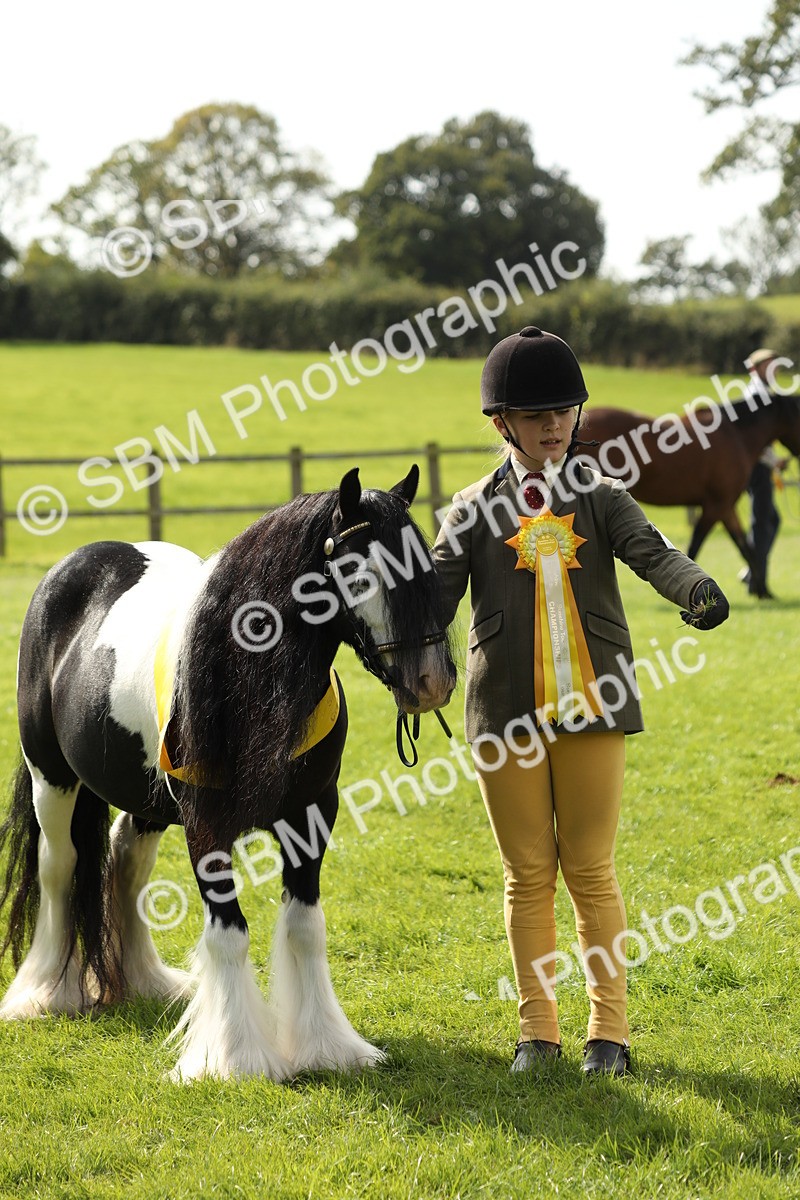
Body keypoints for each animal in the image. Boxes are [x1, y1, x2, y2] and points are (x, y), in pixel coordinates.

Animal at [0, 465, 456, 1081]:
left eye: (426, 562)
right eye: (359, 570)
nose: (432, 680)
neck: (248, 683)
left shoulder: (312, 815)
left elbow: (305, 928)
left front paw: (328, 1047)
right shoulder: (205, 825)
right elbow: (229, 933)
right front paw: (236, 1058)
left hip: (146, 802)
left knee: (125, 861)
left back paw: (145, 981)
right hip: (52, 778)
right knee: (59, 866)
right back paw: (44, 993)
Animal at [577, 393, 800, 596]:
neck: (735, 435)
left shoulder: (726, 507)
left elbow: (745, 547)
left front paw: (763, 591)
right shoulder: (715, 507)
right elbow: (695, 546)